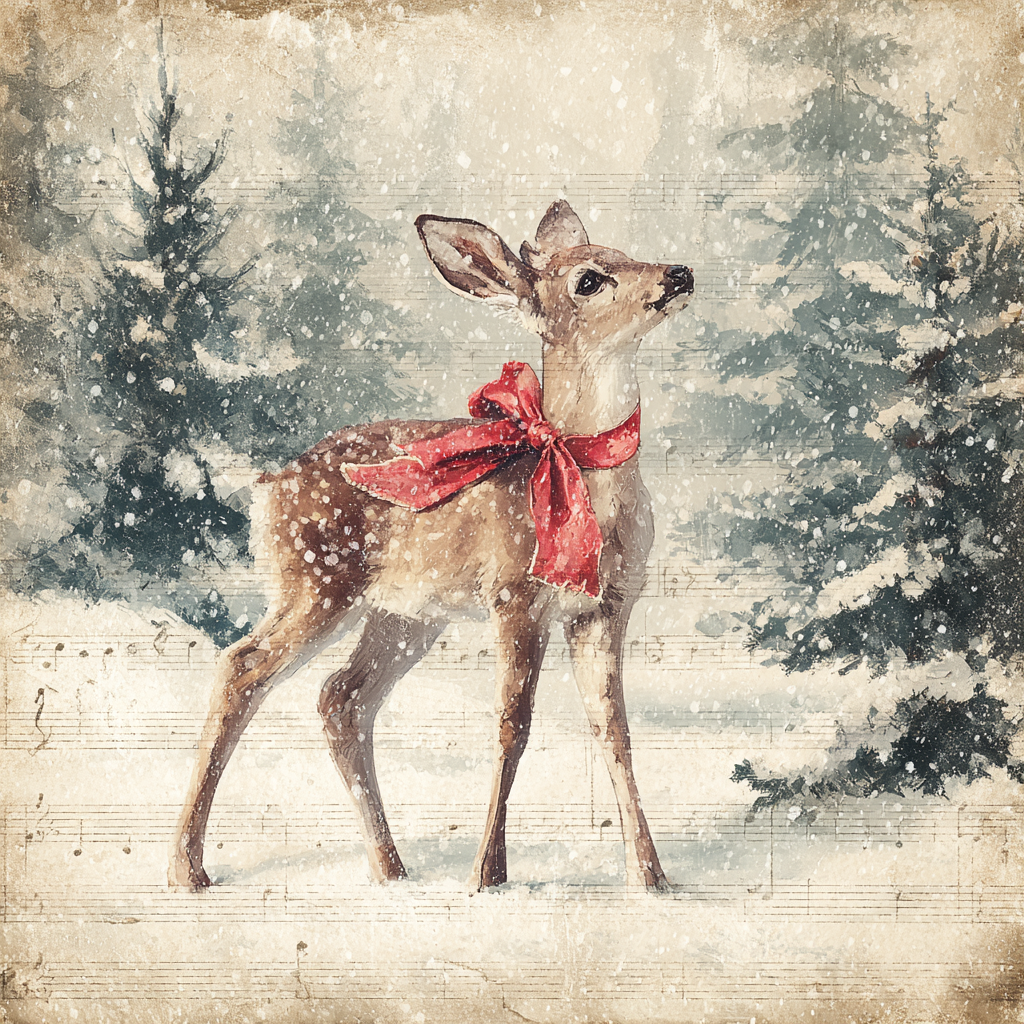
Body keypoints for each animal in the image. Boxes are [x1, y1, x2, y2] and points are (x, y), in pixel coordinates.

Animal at [169, 200, 694, 893]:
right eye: (588, 279)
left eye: (626, 251)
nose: (679, 272)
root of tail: (265, 487)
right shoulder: (514, 595)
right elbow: (512, 725)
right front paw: (488, 874)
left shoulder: (607, 606)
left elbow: (614, 729)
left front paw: (652, 878)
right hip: (316, 582)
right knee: (242, 666)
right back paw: (187, 868)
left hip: (404, 615)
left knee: (341, 697)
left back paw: (391, 869)